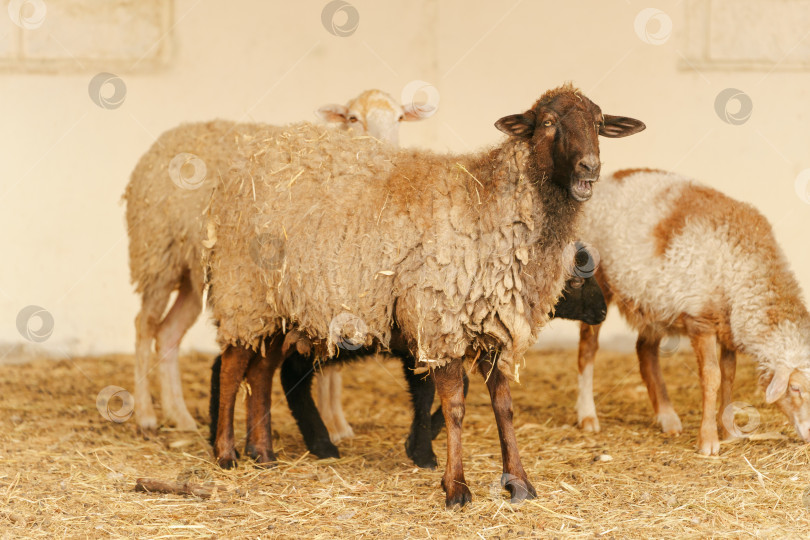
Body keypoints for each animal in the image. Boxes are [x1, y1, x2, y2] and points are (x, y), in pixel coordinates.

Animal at [122, 90, 426, 432]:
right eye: (353, 118)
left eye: (400, 118)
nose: (383, 147)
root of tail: (166, 138)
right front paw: (333, 426)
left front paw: (336, 420)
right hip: (158, 254)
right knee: (144, 326)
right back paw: (146, 414)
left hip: (196, 273)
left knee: (167, 333)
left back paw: (180, 416)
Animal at [207, 81, 644, 506]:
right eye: (549, 123)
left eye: (599, 123)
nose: (591, 167)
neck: (490, 204)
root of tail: (258, 155)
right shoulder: (439, 322)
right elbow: (454, 406)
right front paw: (455, 487)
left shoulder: (494, 325)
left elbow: (503, 406)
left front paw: (519, 482)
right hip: (244, 293)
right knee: (231, 369)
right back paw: (226, 453)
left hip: (279, 308)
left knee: (260, 373)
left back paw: (263, 453)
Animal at [576, 169, 808, 456]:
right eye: (795, 388)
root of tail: (612, 177)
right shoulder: (702, 320)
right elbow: (712, 377)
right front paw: (708, 441)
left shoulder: (729, 325)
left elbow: (728, 374)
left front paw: (729, 430)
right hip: (598, 279)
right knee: (588, 347)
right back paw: (588, 416)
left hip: (653, 298)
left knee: (645, 351)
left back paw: (667, 417)